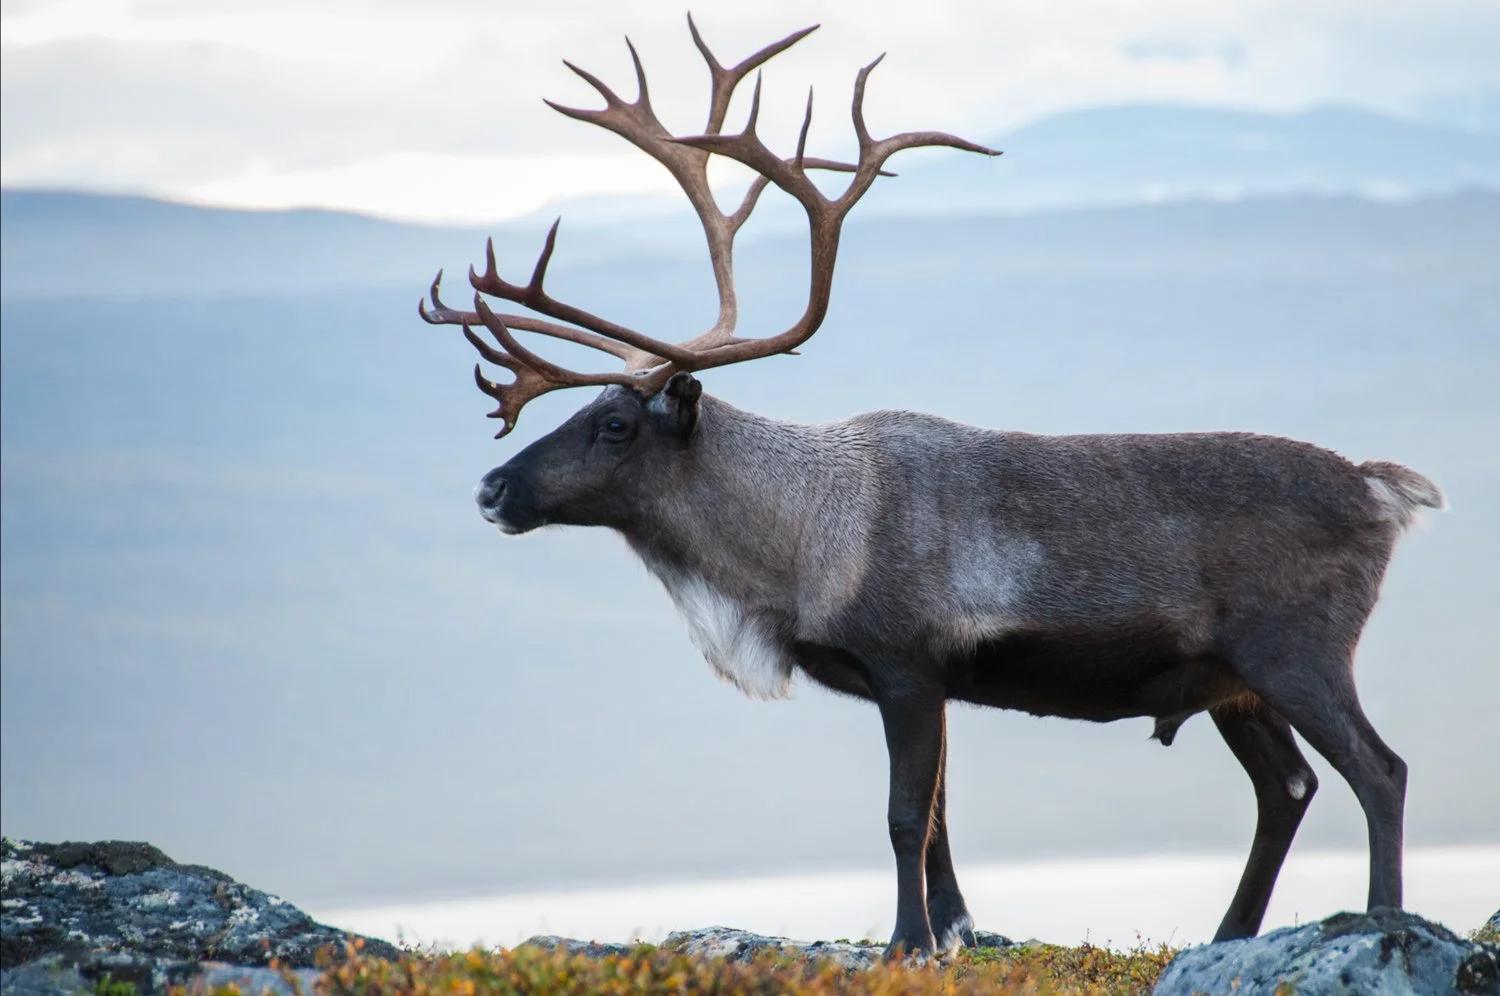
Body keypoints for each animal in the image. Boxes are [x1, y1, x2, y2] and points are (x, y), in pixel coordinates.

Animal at [417, 17, 1445, 958]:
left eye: (616, 425)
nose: (492, 489)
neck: (801, 547)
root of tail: (1381, 490)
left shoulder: (908, 664)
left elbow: (905, 814)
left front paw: (908, 942)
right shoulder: (922, 681)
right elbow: (944, 819)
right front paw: (955, 930)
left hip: (1297, 650)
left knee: (1379, 770)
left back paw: (1383, 919)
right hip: (1233, 680)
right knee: (1288, 788)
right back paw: (1230, 934)